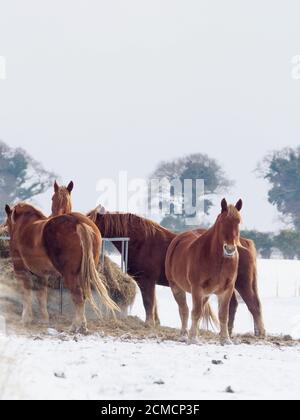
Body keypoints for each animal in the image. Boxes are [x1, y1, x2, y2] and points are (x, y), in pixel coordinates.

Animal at [4, 202, 119, 334]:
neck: (23, 225)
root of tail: (78, 222)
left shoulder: (21, 271)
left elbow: (26, 294)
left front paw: (25, 319)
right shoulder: (42, 274)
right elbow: (41, 295)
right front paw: (44, 319)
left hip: (70, 276)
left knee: (78, 298)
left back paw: (76, 326)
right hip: (83, 275)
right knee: (83, 297)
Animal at [164, 199, 244, 344]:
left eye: (238, 221)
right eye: (222, 221)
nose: (229, 249)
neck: (218, 260)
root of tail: (177, 239)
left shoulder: (227, 290)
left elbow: (223, 315)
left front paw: (225, 339)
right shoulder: (197, 289)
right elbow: (195, 313)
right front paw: (193, 339)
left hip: (205, 295)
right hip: (176, 287)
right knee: (184, 310)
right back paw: (184, 335)